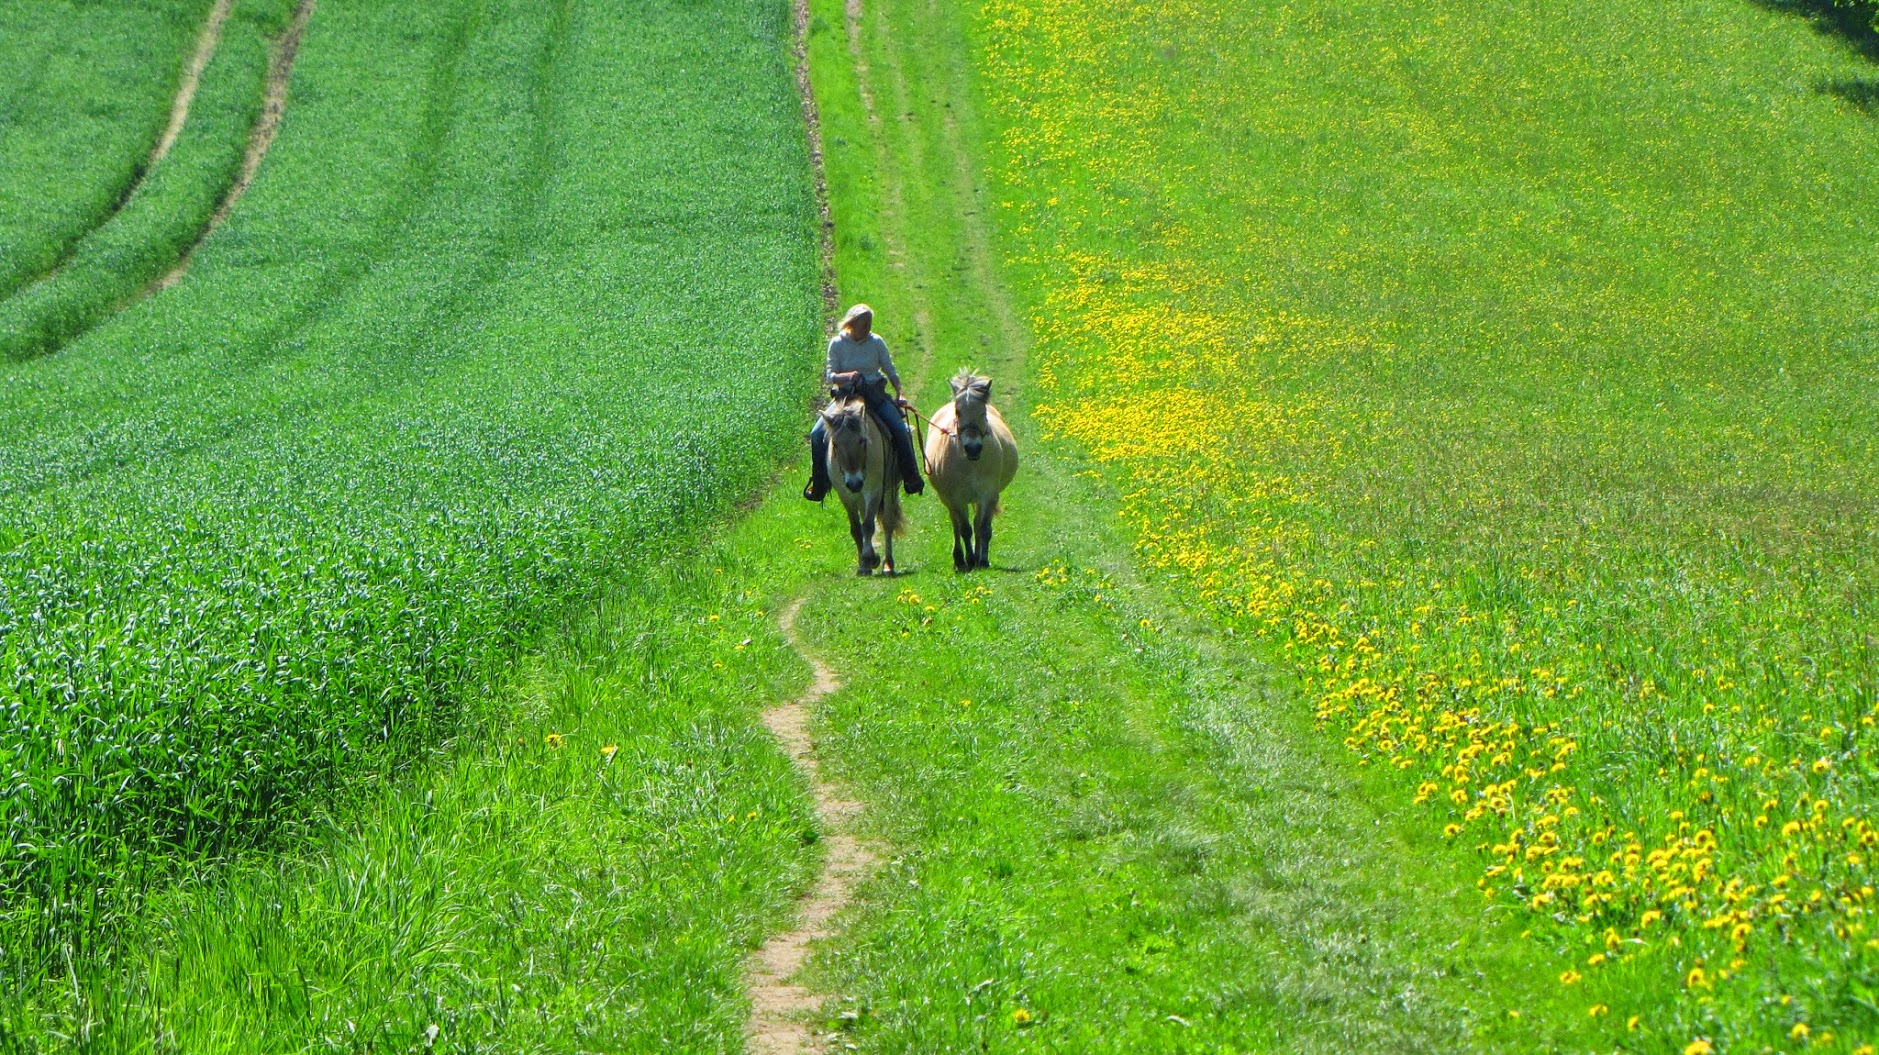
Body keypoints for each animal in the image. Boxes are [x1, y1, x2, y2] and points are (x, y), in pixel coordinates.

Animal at [823, 393, 909, 575]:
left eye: (862, 441)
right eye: (835, 444)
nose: (854, 483)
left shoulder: (874, 490)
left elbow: (869, 525)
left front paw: (869, 558)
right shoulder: (845, 494)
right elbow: (856, 528)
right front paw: (864, 564)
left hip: (888, 489)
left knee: (888, 522)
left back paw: (888, 564)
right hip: (860, 496)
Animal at [920, 368, 1014, 571]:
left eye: (983, 412)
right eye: (958, 411)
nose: (973, 448)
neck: (971, 464)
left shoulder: (988, 494)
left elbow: (983, 528)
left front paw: (982, 560)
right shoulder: (957, 498)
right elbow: (964, 529)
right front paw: (970, 560)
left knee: (977, 523)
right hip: (947, 499)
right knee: (956, 524)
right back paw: (959, 560)